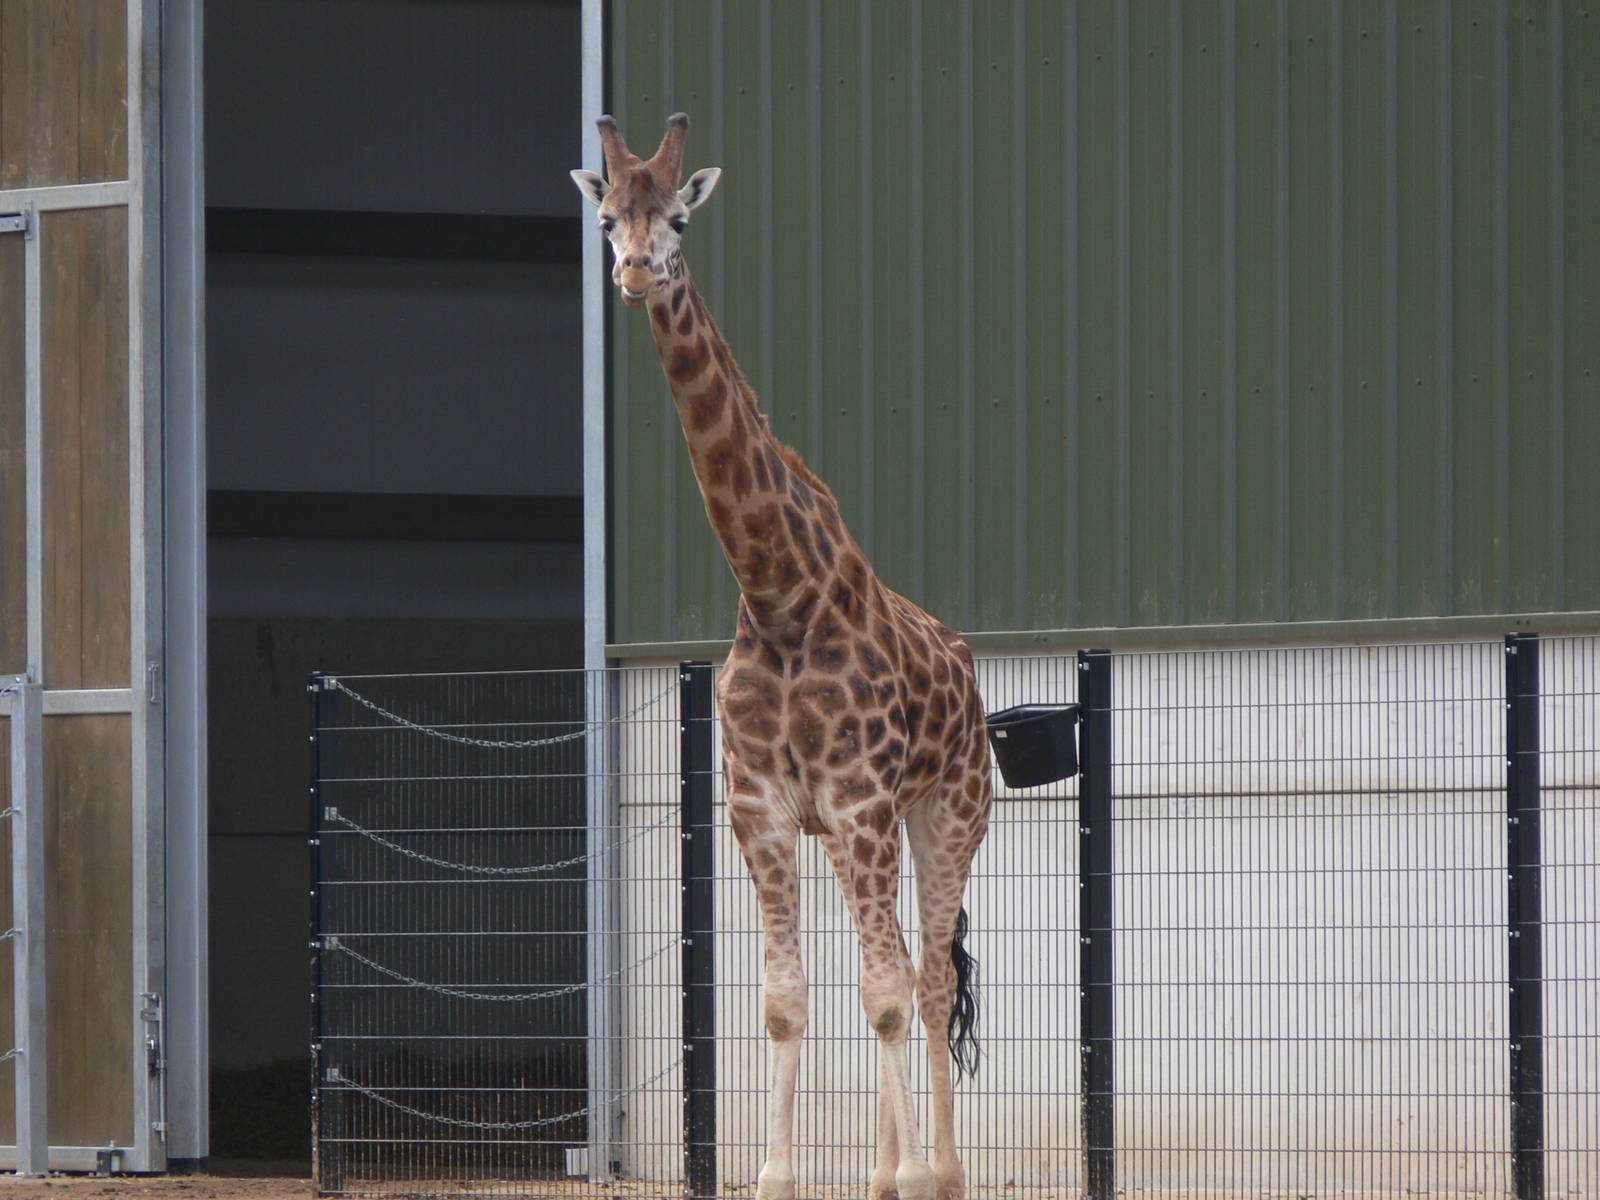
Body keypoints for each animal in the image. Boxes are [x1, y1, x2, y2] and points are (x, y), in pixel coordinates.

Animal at [572, 113, 993, 1200]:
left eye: (678, 218)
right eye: (607, 217)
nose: (636, 271)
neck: (779, 596)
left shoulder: (857, 801)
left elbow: (886, 995)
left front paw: (903, 1180)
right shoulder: (760, 808)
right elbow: (783, 1001)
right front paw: (776, 1175)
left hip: (947, 812)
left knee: (929, 979)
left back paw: (939, 1172)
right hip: (866, 831)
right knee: (892, 968)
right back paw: (891, 1170)